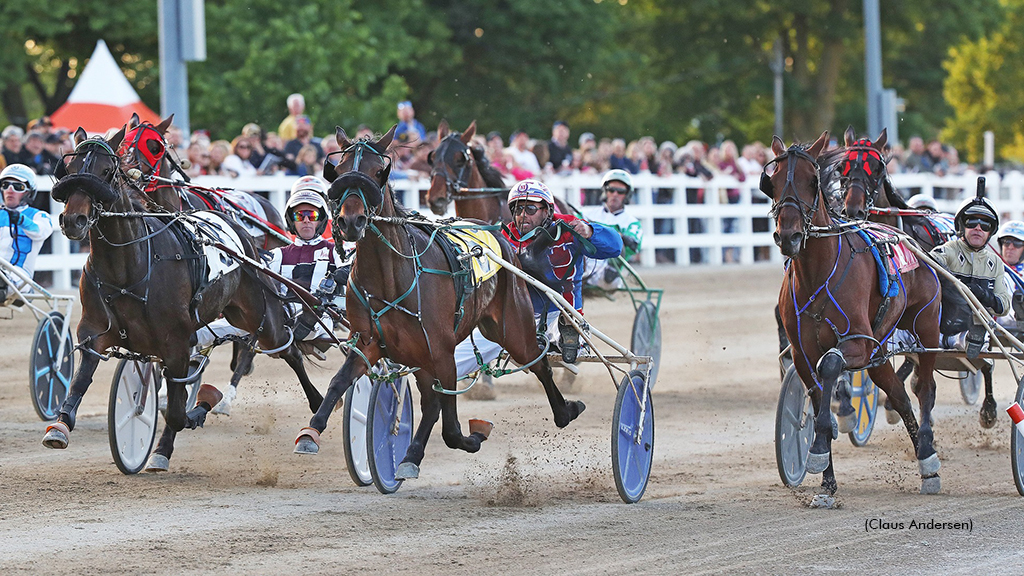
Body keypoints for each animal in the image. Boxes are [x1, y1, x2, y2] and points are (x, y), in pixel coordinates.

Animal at [41, 124, 321, 467]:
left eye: (106, 171)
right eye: (69, 169)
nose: (74, 220)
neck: (130, 265)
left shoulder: (176, 343)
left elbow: (177, 410)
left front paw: (197, 409)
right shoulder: (95, 330)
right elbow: (82, 378)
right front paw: (60, 426)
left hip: (260, 313)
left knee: (285, 349)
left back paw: (313, 410)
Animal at [294, 125, 585, 479]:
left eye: (378, 172)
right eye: (337, 170)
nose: (352, 221)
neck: (391, 277)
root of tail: (500, 234)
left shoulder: (441, 351)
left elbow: (451, 428)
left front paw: (474, 435)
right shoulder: (368, 343)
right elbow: (339, 382)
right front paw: (311, 431)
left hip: (512, 329)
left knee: (539, 363)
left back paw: (566, 408)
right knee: (433, 402)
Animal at [770, 132, 942, 496]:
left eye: (812, 180)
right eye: (772, 183)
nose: (789, 235)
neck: (817, 273)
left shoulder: (858, 342)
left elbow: (832, 365)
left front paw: (821, 446)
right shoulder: (803, 352)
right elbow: (817, 394)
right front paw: (826, 479)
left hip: (926, 327)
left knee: (925, 388)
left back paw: (929, 459)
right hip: (879, 353)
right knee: (899, 395)